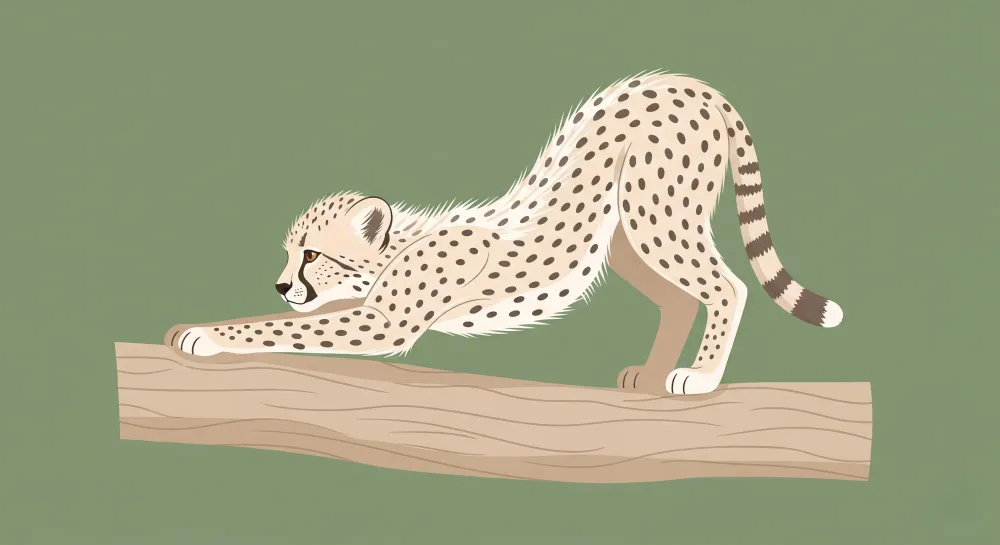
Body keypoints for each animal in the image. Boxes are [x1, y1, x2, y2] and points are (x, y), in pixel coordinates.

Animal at [166, 70, 843, 395]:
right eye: (287, 254)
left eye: (311, 255)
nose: (282, 285)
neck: (398, 246)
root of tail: (680, 81)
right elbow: (286, 321)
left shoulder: (382, 321)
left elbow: (277, 329)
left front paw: (205, 336)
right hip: (627, 235)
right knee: (680, 298)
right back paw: (652, 375)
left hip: (657, 212)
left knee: (727, 286)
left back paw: (698, 378)